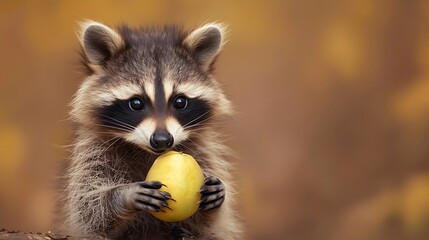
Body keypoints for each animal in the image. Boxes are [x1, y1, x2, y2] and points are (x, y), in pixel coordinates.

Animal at [64, 21, 244, 240]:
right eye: (136, 103)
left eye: (180, 102)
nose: (162, 139)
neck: (147, 151)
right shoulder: (94, 150)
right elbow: (88, 209)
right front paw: (123, 195)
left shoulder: (203, 150)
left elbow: (210, 225)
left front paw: (214, 201)